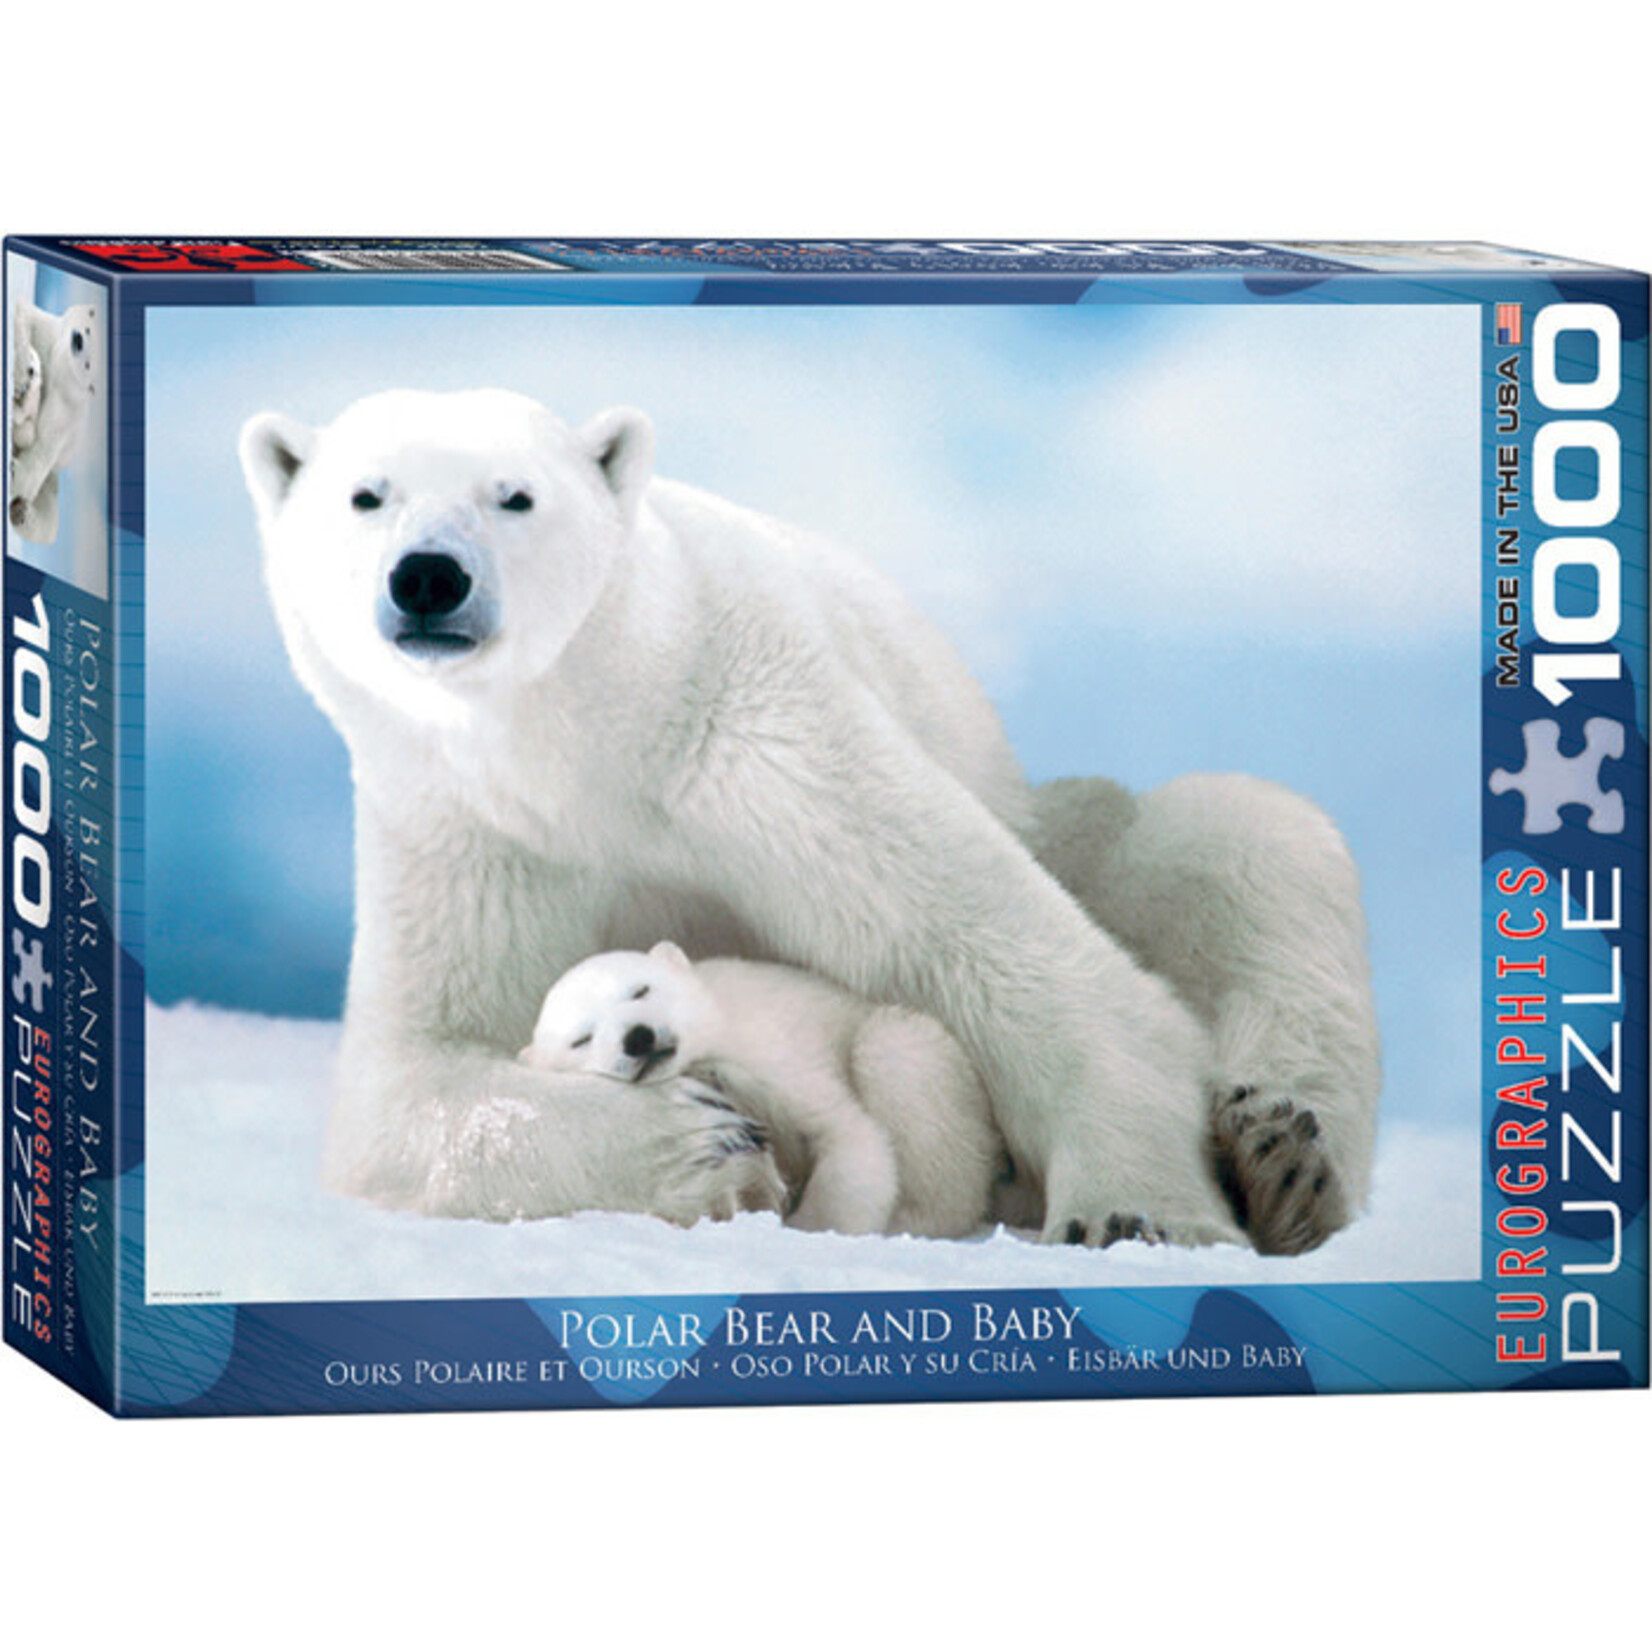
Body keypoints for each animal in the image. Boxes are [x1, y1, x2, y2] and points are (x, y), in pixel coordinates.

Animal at [10, 299, 99, 545]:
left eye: (88, 364)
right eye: (89, 329)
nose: (77, 339)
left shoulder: (65, 412)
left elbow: (41, 449)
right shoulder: (50, 337)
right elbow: (26, 314)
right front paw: (23, 373)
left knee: (46, 523)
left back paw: (20, 511)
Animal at [523, 942, 1005, 1239]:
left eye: (640, 988)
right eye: (582, 1038)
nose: (638, 1038)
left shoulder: (774, 1050)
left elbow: (848, 1135)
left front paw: (813, 1226)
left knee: (894, 1047)